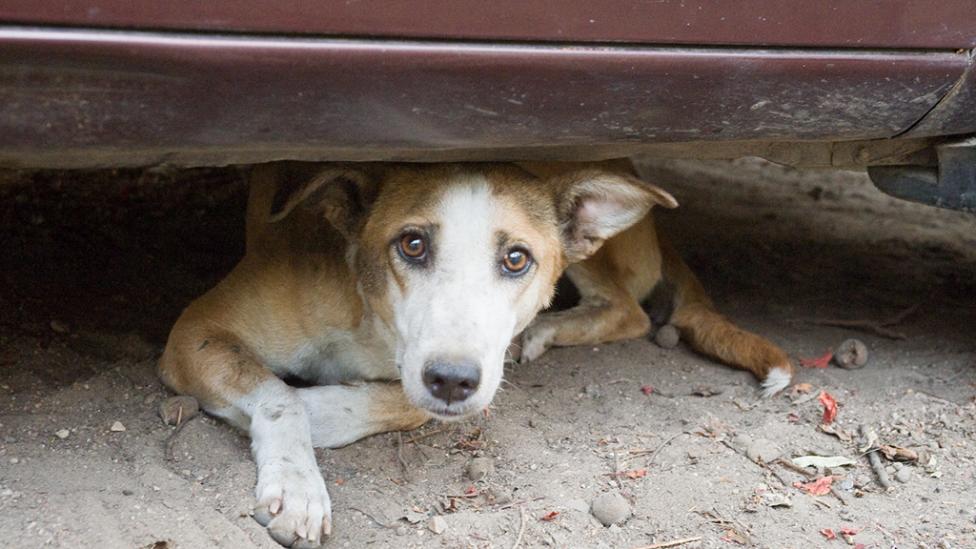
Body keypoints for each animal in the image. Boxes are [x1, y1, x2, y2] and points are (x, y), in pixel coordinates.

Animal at [156, 158, 788, 544]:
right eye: (412, 244)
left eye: (516, 258)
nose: (452, 380)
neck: (372, 325)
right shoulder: (195, 330)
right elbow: (278, 395)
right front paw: (296, 484)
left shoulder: (465, 370)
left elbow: (401, 402)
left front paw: (319, 413)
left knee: (628, 310)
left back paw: (543, 331)